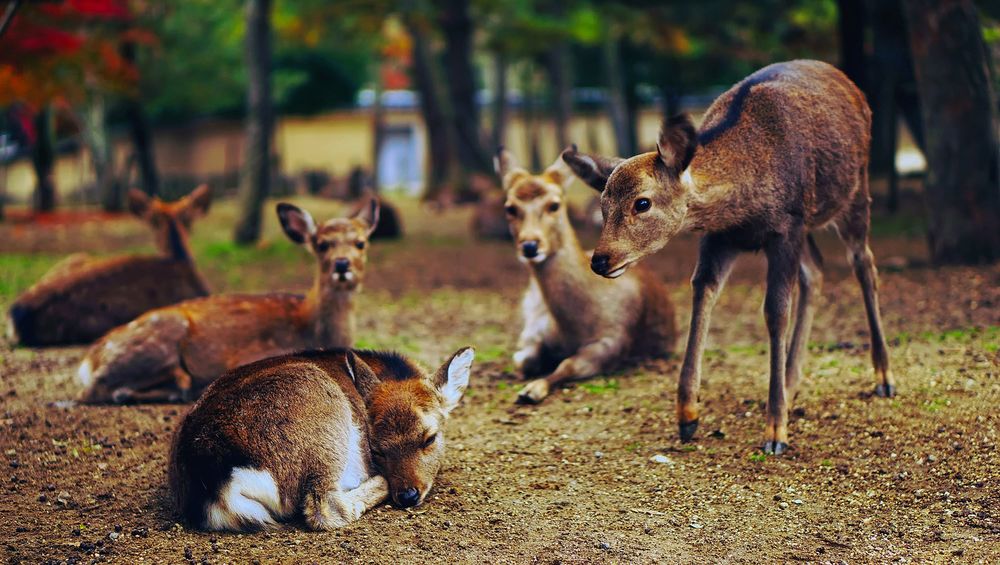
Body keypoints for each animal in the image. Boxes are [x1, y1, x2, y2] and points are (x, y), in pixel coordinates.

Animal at [76, 200, 380, 404]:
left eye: (361, 242)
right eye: (321, 244)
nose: (342, 264)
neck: (310, 326)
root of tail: (88, 361)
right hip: (156, 341)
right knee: (97, 390)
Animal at [169, 346, 476, 532]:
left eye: (429, 438)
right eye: (377, 450)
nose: (408, 495)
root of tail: (216, 486)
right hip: (323, 422)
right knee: (325, 507)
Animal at [498, 148, 680, 404]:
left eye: (554, 205)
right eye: (510, 207)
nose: (530, 246)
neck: (572, 327)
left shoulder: (613, 340)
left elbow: (568, 364)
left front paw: (531, 390)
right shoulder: (534, 330)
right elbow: (523, 359)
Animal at [560, 58, 896, 454]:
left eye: (642, 203)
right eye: (602, 204)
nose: (600, 259)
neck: (742, 205)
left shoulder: (786, 226)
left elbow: (775, 312)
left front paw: (775, 431)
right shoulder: (721, 237)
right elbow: (702, 293)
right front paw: (687, 416)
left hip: (854, 192)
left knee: (864, 264)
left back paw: (884, 377)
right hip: (810, 225)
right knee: (816, 270)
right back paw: (791, 382)